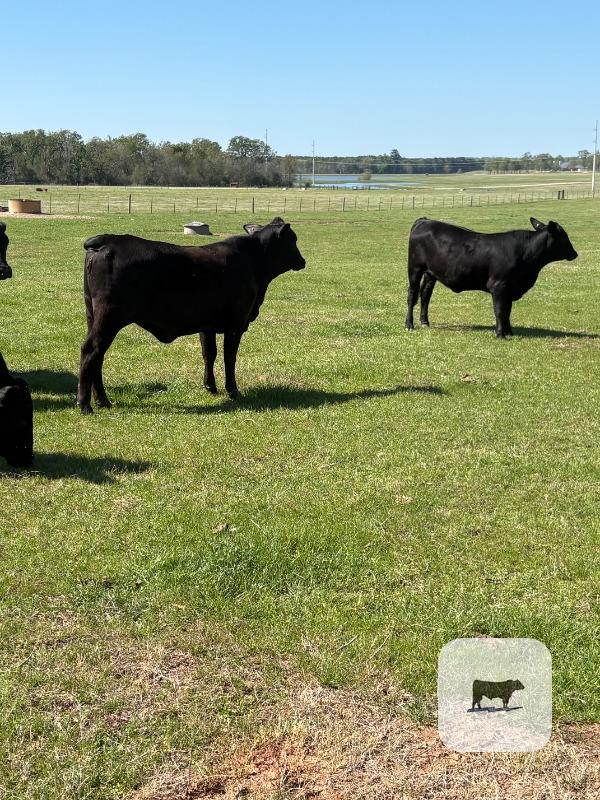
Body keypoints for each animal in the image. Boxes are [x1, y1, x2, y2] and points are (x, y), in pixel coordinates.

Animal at [76, 217, 306, 414]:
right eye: (293, 240)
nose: (303, 261)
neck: (252, 262)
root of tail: (106, 241)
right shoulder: (236, 324)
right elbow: (229, 357)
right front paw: (232, 390)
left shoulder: (207, 325)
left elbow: (209, 353)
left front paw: (210, 386)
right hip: (109, 316)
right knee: (91, 350)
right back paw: (85, 404)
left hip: (93, 314)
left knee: (98, 356)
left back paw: (102, 401)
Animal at [405, 217, 578, 337]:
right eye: (564, 237)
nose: (575, 253)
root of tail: (424, 220)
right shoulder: (499, 286)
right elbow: (500, 310)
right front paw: (500, 334)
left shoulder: (509, 289)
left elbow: (508, 310)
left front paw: (509, 332)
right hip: (414, 269)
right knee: (412, 295)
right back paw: (409, 324)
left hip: (430, 274)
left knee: (425, 295)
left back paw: (424, 322)